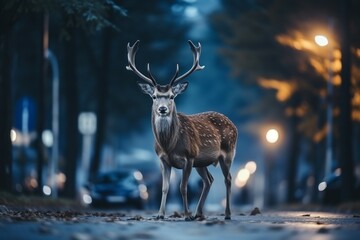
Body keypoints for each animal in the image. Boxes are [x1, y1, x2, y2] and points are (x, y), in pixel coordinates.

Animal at [125, 39, 238, 221]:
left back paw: (226, 214)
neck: (169, 145)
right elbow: (165, 188)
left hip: (228, 153)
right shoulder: (163, 160)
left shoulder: (189, 157)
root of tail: (233, 124)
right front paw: (160, 214)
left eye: (172, 96)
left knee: (227, 178)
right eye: (154, 96)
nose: (162, 109)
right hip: (202, 161)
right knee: (209, 180)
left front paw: (186, 215)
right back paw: (199, 213)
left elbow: (183, 187)